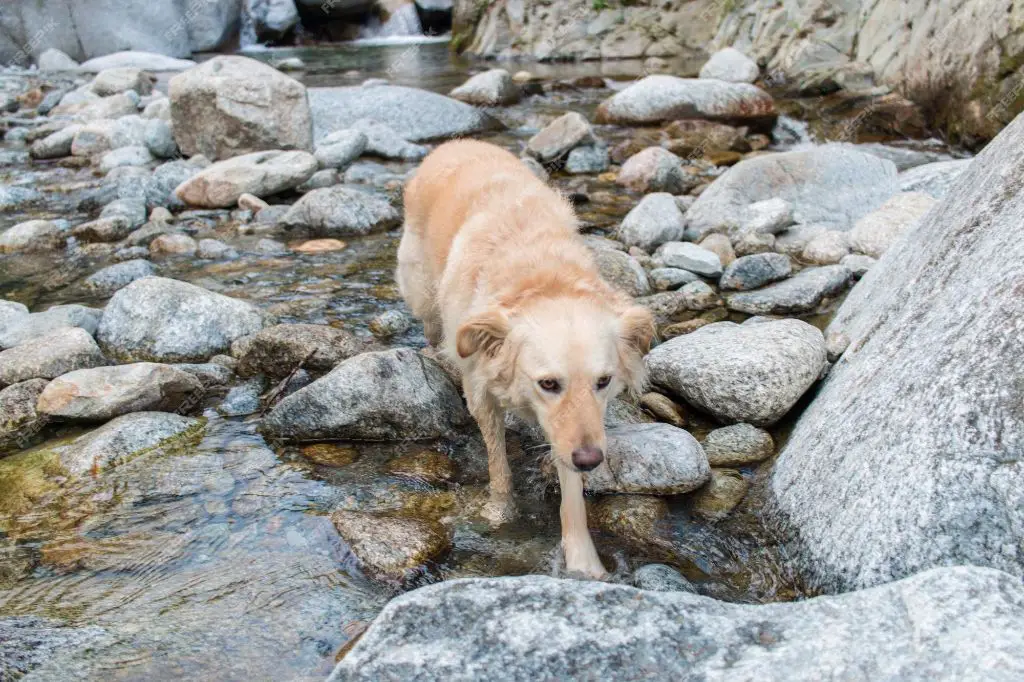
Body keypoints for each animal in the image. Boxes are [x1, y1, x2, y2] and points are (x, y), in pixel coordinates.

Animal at [395, 140, 651, 577]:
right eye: (548, 383)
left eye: (603, 382)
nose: (591, 460)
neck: (541, 277)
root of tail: (454, 143)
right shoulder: (482, 387)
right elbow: (498, 462)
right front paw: (500, 512)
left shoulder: (569, 431)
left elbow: (570, 489)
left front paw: (583, 562)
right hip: (421, 289)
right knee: (431, 325)